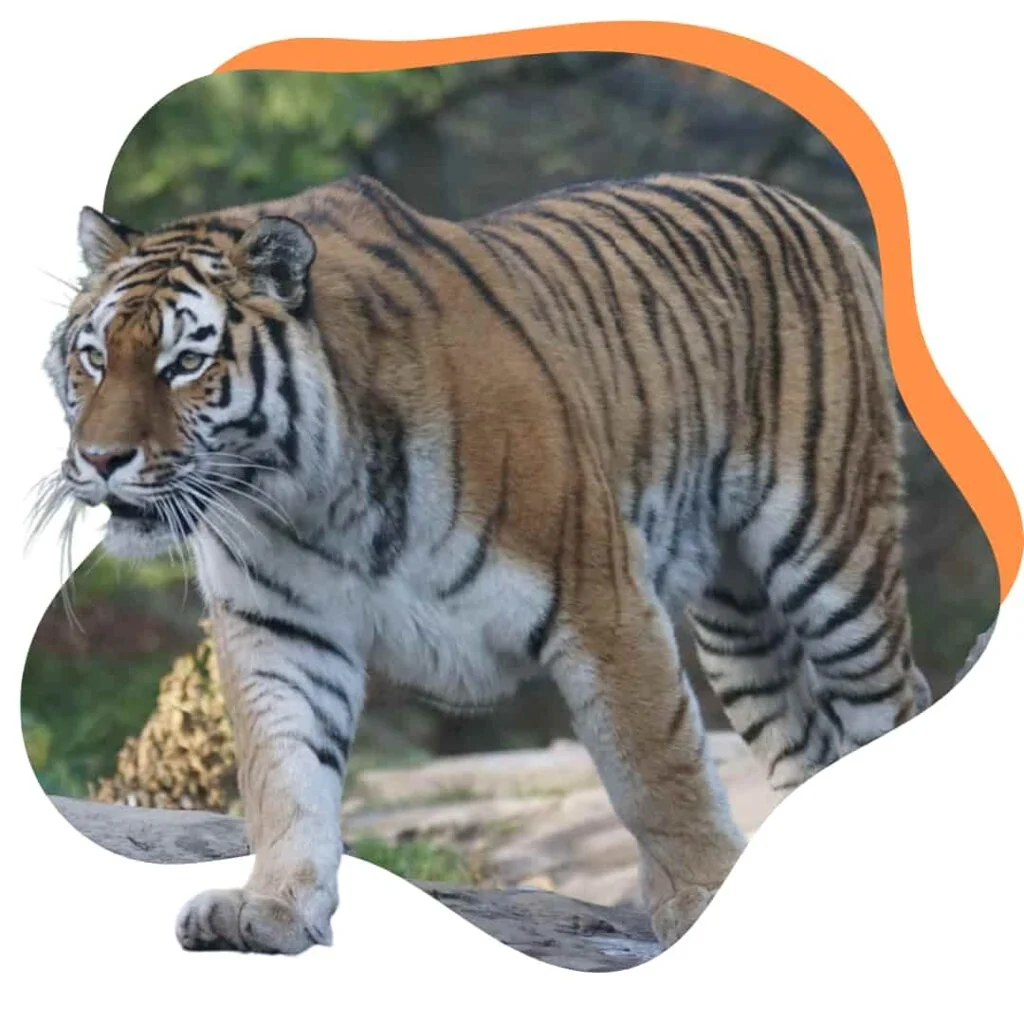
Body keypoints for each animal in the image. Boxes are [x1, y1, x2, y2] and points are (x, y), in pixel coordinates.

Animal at [37, 171, 932, 956]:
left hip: (832, 561)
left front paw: (703, 899)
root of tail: (810, 211)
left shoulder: (602, 599)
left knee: (890, 699)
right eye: (93, 358)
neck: (306, 492)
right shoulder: (279, 629)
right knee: (803, 741)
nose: (101, 459)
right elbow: (285, 775)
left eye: (185, 363)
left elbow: (658, 769)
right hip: (738, 624)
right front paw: (273, 906)